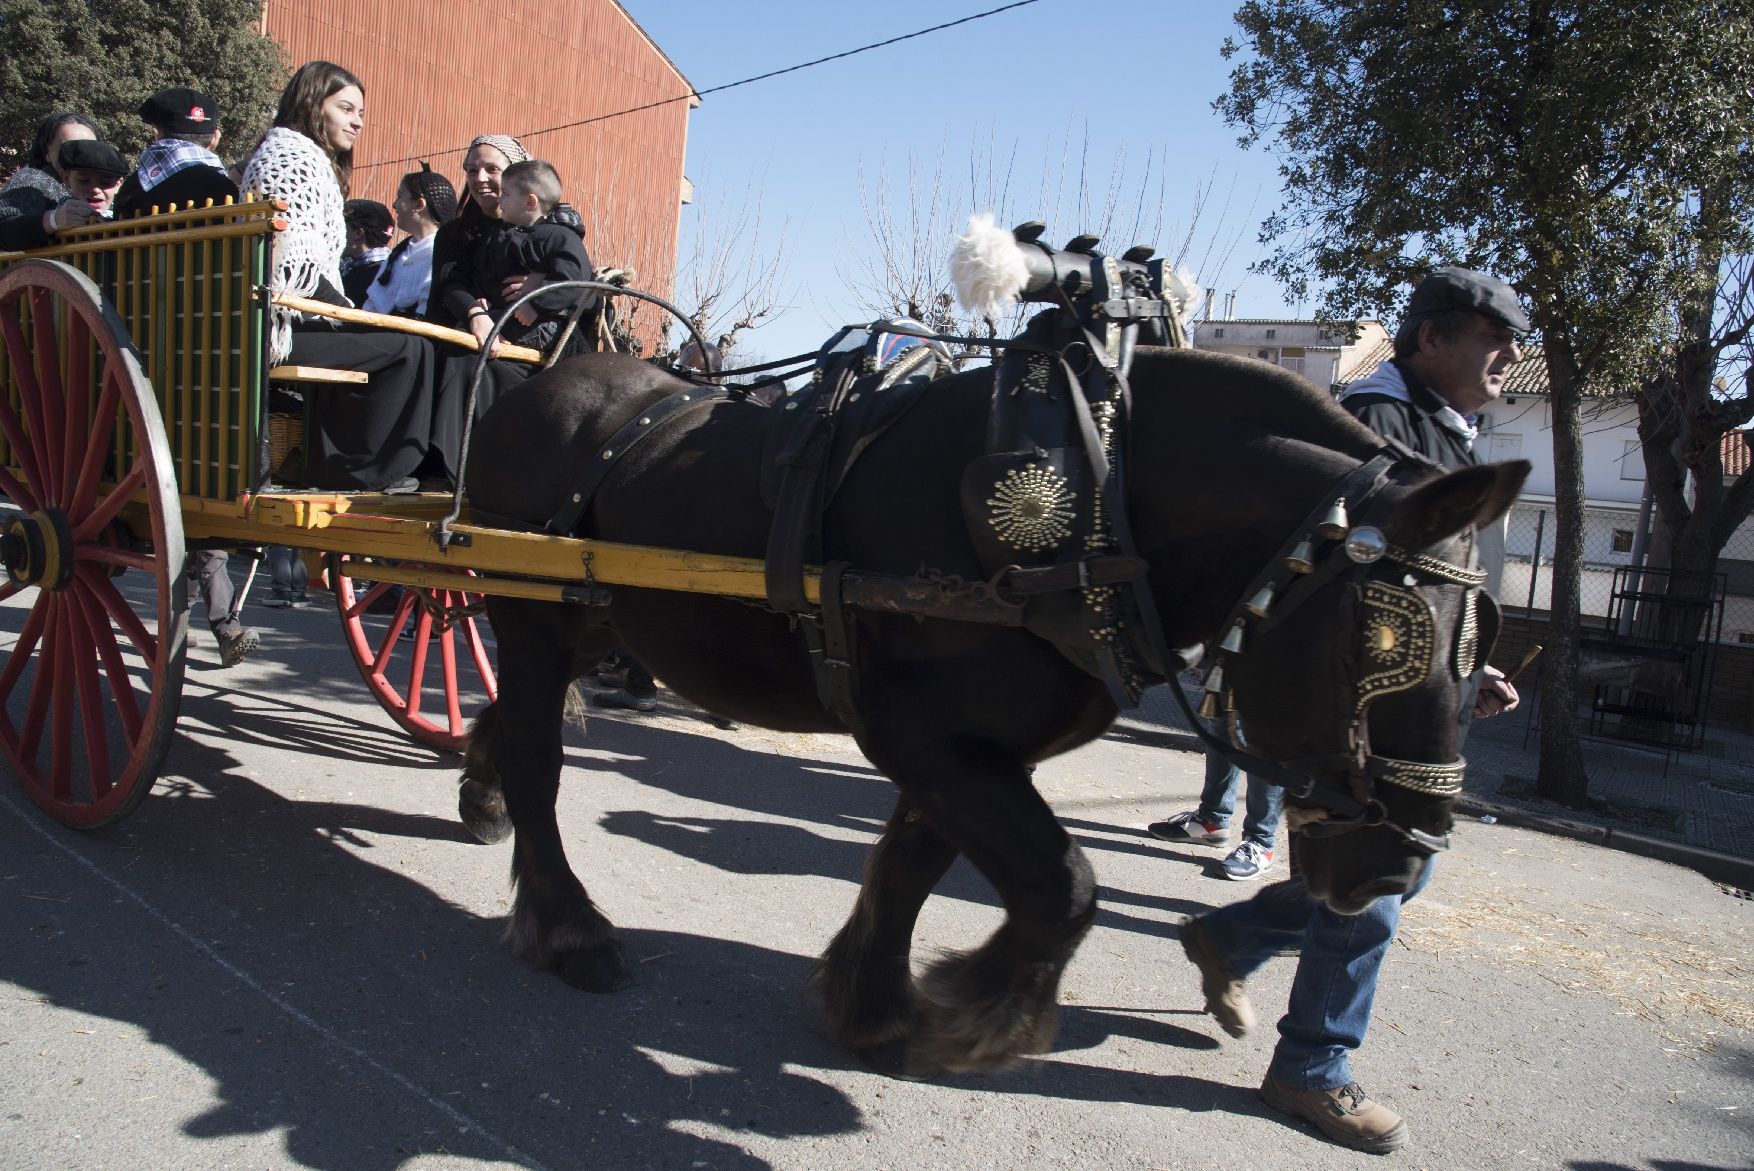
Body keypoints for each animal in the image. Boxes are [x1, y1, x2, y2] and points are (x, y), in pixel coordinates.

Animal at [459, 343, 1529, 1072]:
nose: (1400, 862)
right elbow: (1065, 884)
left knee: (511, 727)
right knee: (540, 762)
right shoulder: (924, 735)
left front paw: (874, 1005)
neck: (1093, 510)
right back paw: (569, 927)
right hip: (533, 619)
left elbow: (911, 866)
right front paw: (976, 1013)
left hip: (599, 621)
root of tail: (539, 384)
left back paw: (481, 798)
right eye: (1385, 643)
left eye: (1483, 636)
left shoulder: (960, 747)